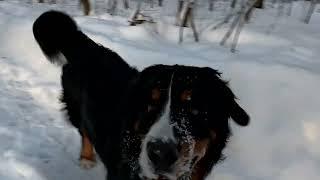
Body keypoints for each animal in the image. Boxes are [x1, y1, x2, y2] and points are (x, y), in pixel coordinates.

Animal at [33, 10, 250, 179]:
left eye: (194, 108)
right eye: (148, 106)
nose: (161, 153)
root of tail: (82, 45)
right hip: (76, 108)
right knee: (84, 131)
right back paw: (86, 159)